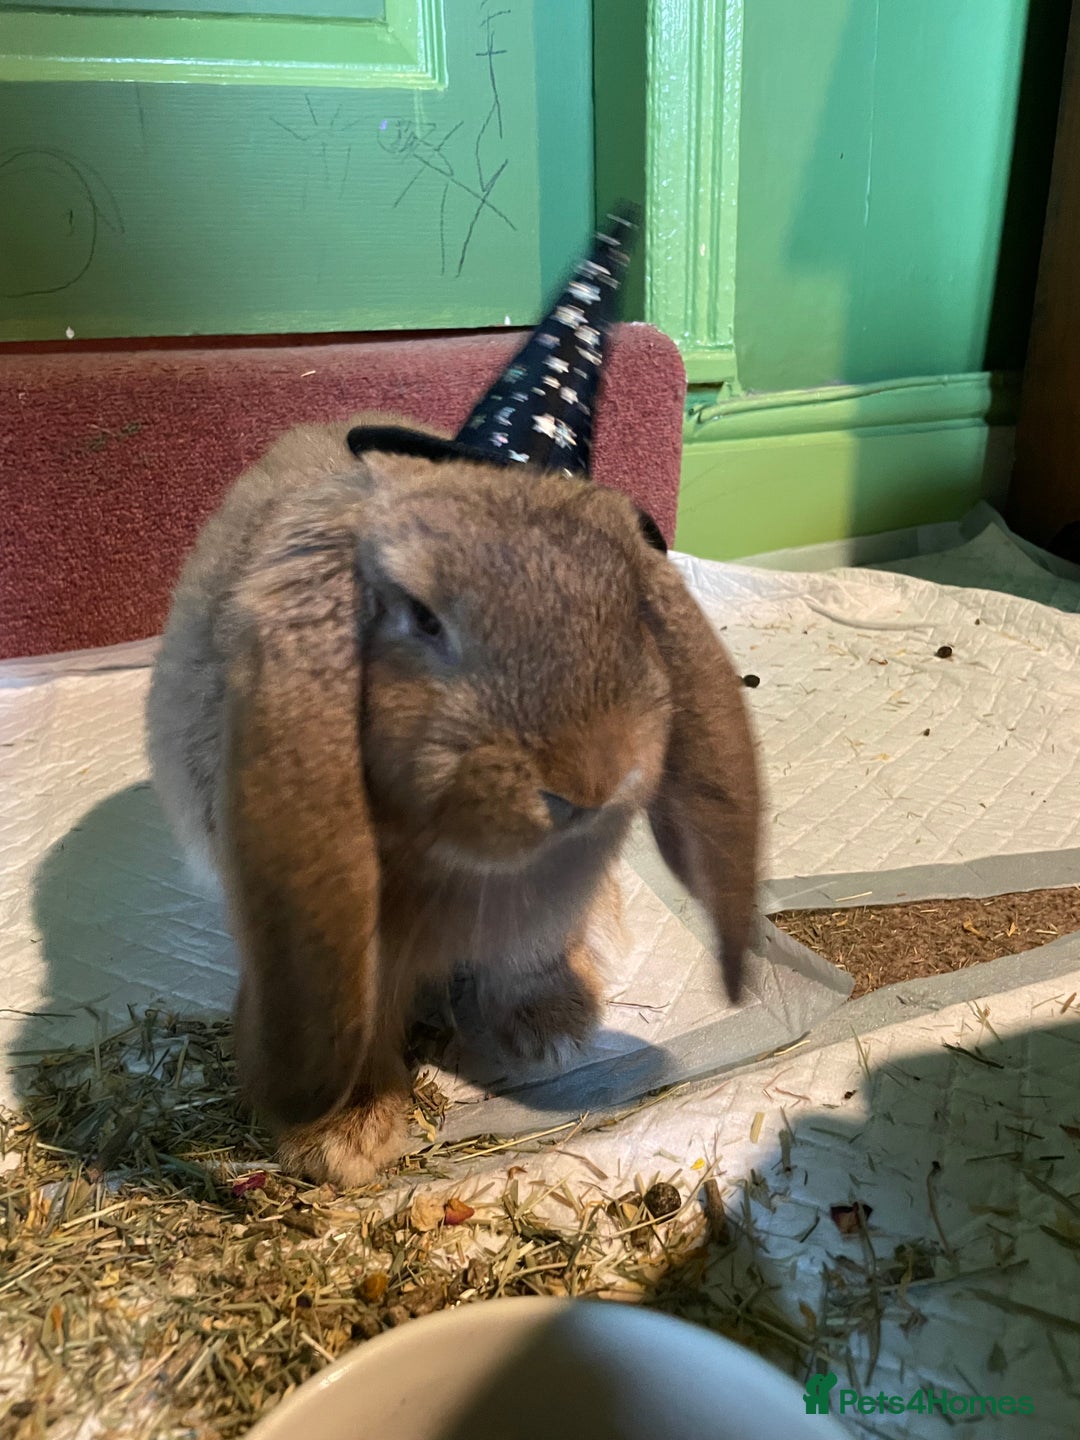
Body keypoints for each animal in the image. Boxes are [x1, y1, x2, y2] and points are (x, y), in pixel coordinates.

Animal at [146, 412, 761, 1187]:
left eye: (629, 606)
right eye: (423, 618)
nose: (593, 779)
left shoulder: (549, 909)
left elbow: (527, 958)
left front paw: (554, 1032)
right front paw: (344, 1144)